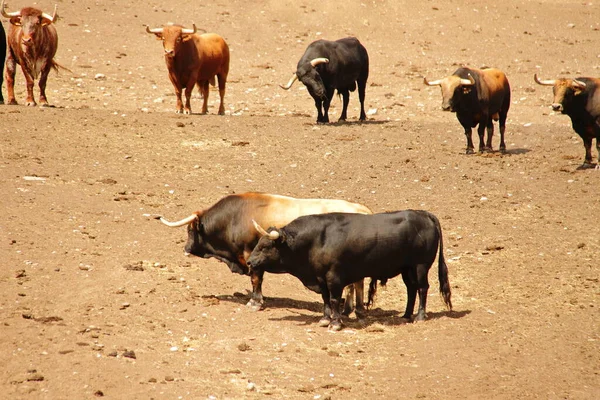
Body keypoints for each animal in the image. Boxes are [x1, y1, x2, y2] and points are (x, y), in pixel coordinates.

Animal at [156, 192, 370, 318]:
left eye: (190, 230)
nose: (186, 249)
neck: (234, 217)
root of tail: (363, 211)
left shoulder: (251, 256)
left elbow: (256, 279)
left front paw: (255, 302)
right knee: (358, 282)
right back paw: (356, 309)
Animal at [246, 209, 452, 332]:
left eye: (265, 246)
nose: (249, 262)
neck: (317, 239)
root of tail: (424, 214)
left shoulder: (334, 277)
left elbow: (335, 299)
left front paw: (336, 323)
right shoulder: (321, 277)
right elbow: (326, 299)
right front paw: (325, 319)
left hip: (420, 266)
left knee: (422, 288)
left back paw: (420, 316)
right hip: (406, 269)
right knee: (411, 288)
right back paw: (406, 315)